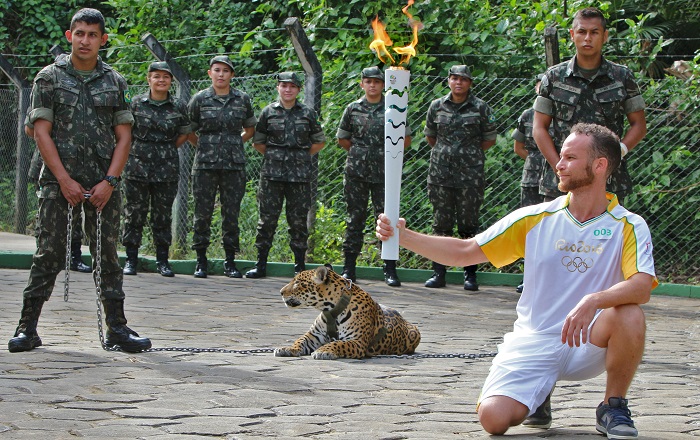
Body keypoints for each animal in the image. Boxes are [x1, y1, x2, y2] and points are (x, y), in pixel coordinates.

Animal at [275, 264, 421, 360]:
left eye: (297, 283)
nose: (280, 292)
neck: (330, 309)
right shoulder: (314, 335)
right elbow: (300, 340)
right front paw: (288, 348)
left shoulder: (357, 342)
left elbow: (338, 343)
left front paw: (323, 350)